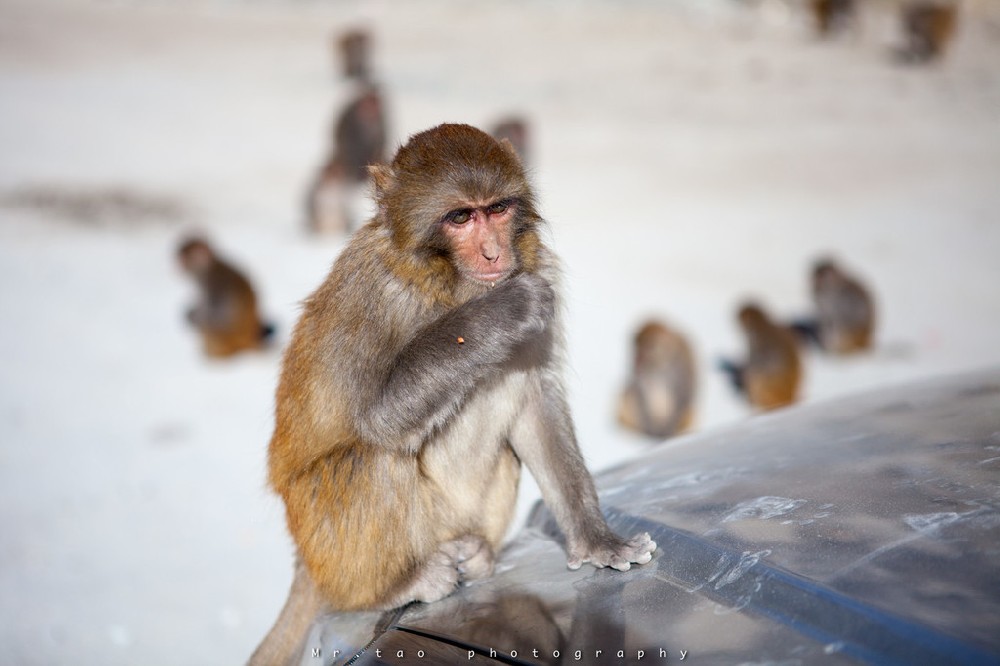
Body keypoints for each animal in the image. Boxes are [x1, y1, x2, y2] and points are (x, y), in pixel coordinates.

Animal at [250, 124, 656, 664]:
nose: (494, 254)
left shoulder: (538, 266)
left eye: (497, 209)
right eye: (461, 217)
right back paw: (392, 586)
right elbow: (377, 417)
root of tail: (307, 562)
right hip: (331, 544)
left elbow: (535, 401)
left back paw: (476, 554)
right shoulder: (375, 297)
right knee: (376, 458)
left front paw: (597, 542)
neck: (452, 283)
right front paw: (500, 312)